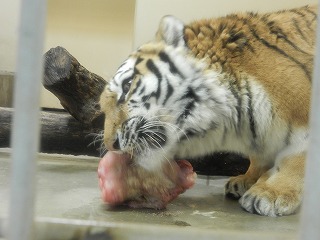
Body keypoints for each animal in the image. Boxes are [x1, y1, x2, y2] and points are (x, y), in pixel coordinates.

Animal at [100, 5, 318, 216]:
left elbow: (297, 157)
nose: (111, 144)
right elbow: (260, 155)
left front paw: (271, 193)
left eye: (128, 86)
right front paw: (247, 179)